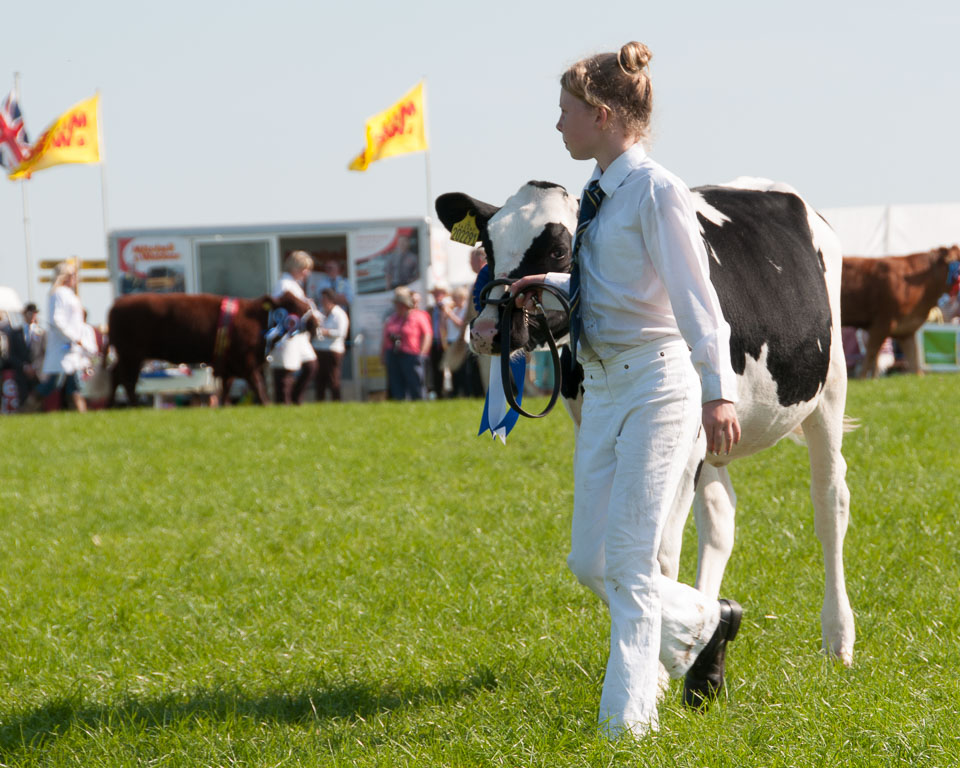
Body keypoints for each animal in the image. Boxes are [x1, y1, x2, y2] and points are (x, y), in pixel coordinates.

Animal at [107, 292, 318, 404]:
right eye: (293, 305)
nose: (315, 322)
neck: (255, 318)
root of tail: (117, 303)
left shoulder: (229, 366)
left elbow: (226, 389)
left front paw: (224, 406)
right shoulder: (246, 362)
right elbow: (258, 385)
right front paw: (267, 404)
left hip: (128, 356)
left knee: (117, 376)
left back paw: (111, 405)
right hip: (131, 355)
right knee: (127, 380)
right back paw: (133, 405)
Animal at [436, 178, 856, 664]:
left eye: (558, 250)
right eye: (487, 244)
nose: (487, 331)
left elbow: (657, 554)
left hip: (828, 387)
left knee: (830, 501)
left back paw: (837, 639)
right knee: (720, 515)